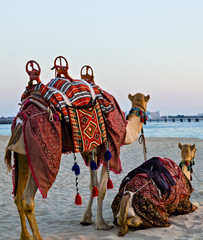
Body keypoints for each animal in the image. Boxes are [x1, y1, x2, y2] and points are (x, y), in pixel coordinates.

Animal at [3, 57, 150, 239]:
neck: (126, 128)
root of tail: (20, 120)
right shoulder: (108, 149)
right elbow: (102, 189)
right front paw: (102, 225)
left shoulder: (92, 151)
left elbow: (93, 186)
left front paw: (86, 219)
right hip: (40, 158)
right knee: (28, 200)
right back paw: (37, 236)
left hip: (22, 155)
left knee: (17, 197)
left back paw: (26, 236)